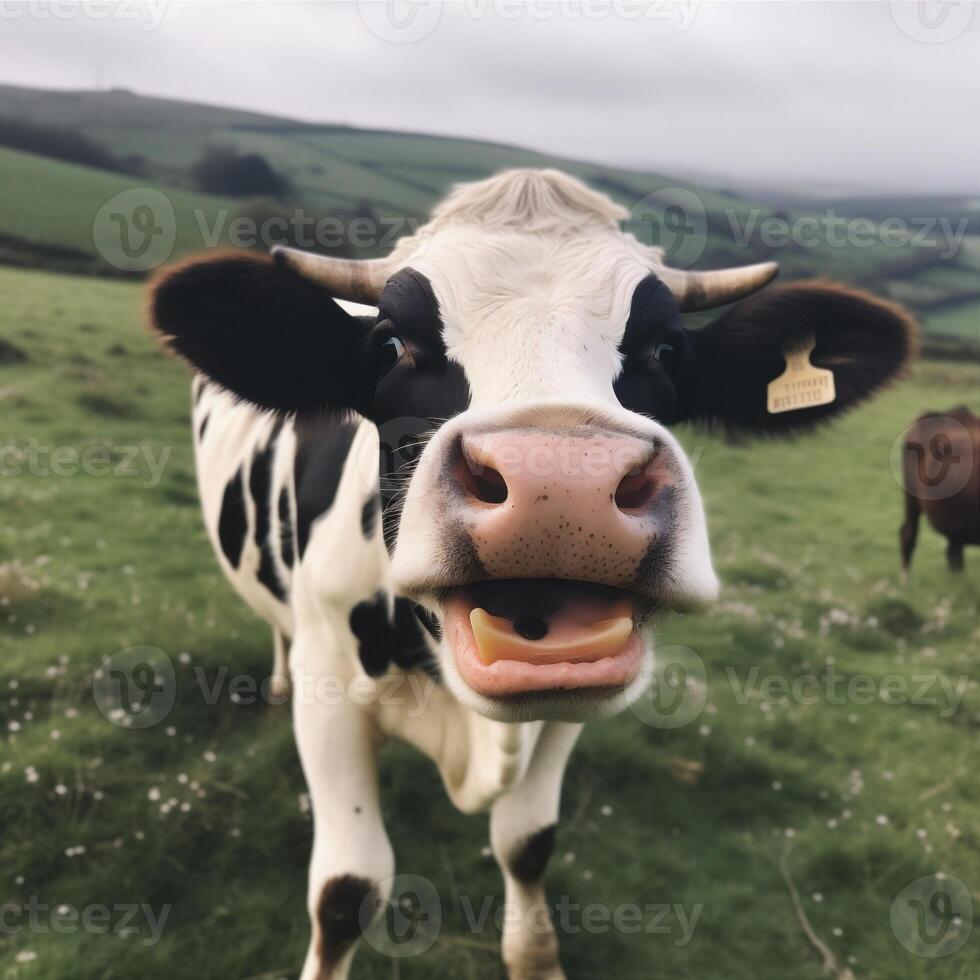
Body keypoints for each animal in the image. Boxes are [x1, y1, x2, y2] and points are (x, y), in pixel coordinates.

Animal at [147, 170, 920, 980]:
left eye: (667, 349)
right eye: (391, 344)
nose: (562, 485)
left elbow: (527, 844)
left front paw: (535, 956)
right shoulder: (329, 683)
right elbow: (346, 890)